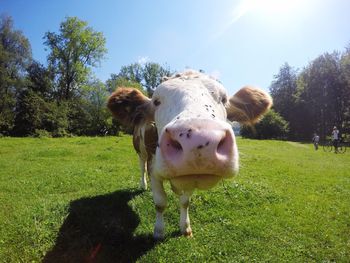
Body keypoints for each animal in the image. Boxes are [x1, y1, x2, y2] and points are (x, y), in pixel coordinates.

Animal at [108, 71, 272, 240]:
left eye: (224, 99)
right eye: (156, 101)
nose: (199, 140)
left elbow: (185, 202)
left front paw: (185, 227)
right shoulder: (155, 171)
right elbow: (160, 203)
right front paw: (159, 231)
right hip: (140, 150)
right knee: (142, 167)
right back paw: (143, 184)